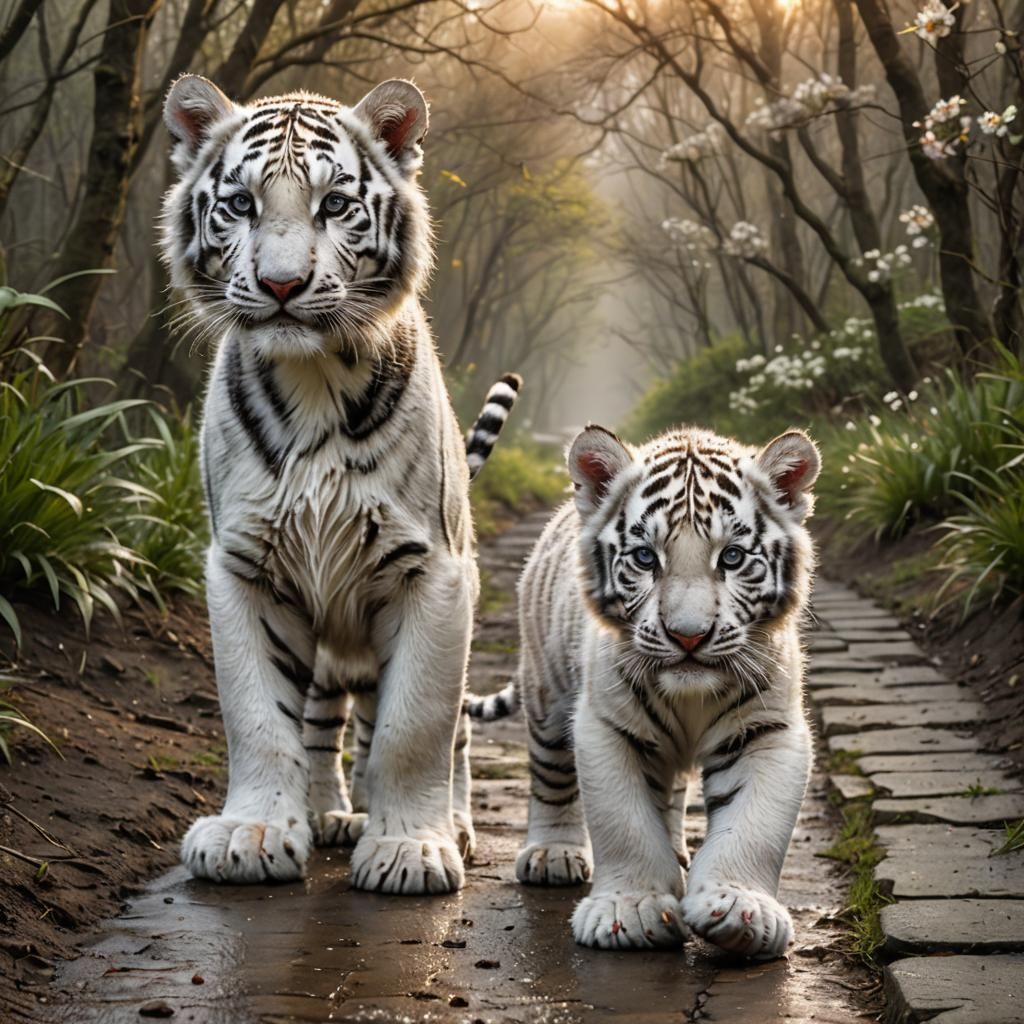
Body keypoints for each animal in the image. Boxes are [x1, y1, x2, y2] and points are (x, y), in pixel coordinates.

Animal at [160, 73, 521, 894]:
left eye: (333, 204)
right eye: (241, 203)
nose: (281, 285)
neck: (314, 376)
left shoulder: (432, 574)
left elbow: (414, 727)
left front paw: (411, 848)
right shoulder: (246, 566)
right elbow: (259, 716)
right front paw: (253, 832)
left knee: (449, 735)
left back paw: (454, 824)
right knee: (323, 724)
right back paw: (326, 812)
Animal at [468, 424, 819, 958]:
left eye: (732, 557)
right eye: (644, 557)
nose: (689, 636)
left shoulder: (769, 728)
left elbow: (754, 824)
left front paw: (740, 909)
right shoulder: (606, 725)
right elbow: (625, 822)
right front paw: (629, 911)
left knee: (671, 792)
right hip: (547, 692)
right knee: (550, 773)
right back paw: (553, 853)